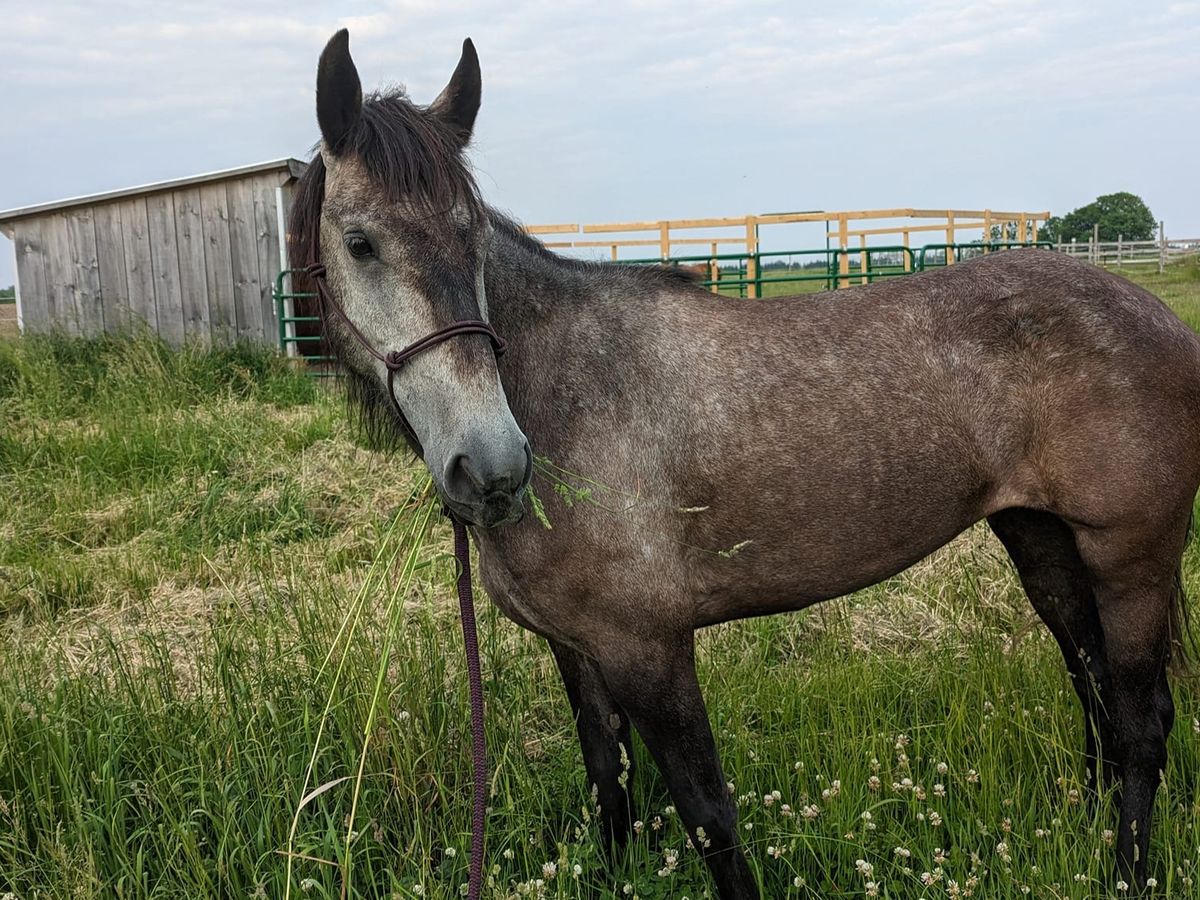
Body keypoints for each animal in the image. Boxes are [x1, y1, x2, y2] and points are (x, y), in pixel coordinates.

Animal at [289, 30, 1200, 898]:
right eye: (360, 243)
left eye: (472, 235)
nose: (493, 466)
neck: (566, 392)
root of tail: (1159, 317)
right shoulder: (577, 650)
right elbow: (608, 782)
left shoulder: (649, 649)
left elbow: (707, 812)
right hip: (1041, 540)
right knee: (1094, 691)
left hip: (1130, 558)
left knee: (1140, 716)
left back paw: (1127, 869)